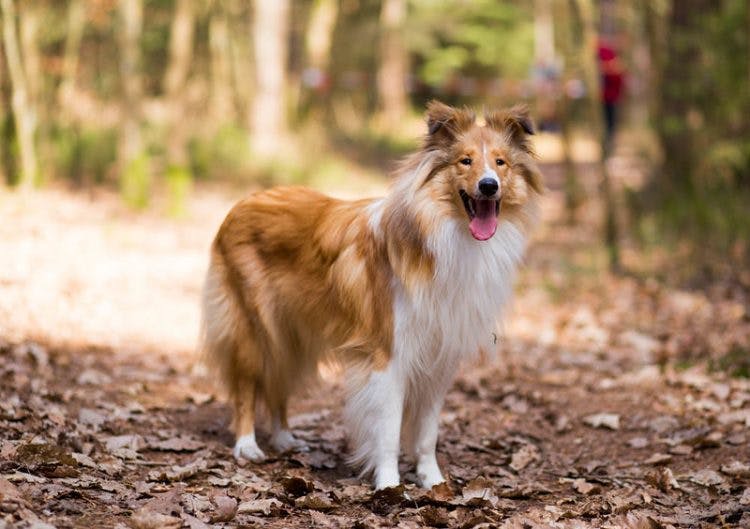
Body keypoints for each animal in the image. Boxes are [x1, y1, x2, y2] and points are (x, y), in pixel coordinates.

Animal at [200, 101, 540, 488]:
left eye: (501, 162)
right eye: (465, 161)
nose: (488, 186)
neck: (443, 235)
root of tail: (242, 202)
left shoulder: (438, 358)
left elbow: (427, 434)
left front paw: (432, 480)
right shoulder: (387, 355)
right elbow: (389, 430)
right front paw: (389, 484)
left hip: (291, 333)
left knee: (278, 382)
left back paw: (284, 437)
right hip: (254, 328)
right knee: (246, 385)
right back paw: (247, 445)